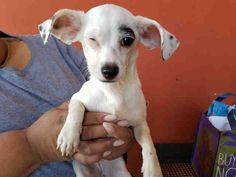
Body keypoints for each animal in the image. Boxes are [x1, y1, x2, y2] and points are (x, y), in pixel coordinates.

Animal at [39, 3, 179, 176]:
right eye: (92, 39)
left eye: (127, 40)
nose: (109, 71)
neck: (113, 92)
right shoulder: (78, 97)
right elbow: (76, 107)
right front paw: (68, 136)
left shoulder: (139, 123)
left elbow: (149, 142)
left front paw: (153, 168)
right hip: (81, 169)